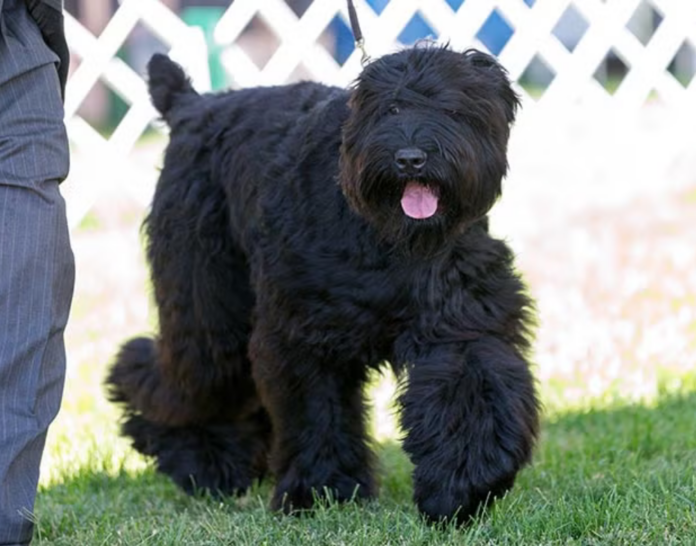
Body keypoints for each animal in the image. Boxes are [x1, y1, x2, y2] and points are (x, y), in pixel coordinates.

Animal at [107, 46, 540, 524]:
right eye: (388, 108)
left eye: (452, 108)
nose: (410, 158)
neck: (382, 234)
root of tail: (189, 106)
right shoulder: (303, 333)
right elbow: (316, 411)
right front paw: (319, 490)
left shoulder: (459, 322)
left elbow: (470, 387)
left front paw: (464, 480)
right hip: (207, 312)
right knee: (174, 378)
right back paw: (199, 460)